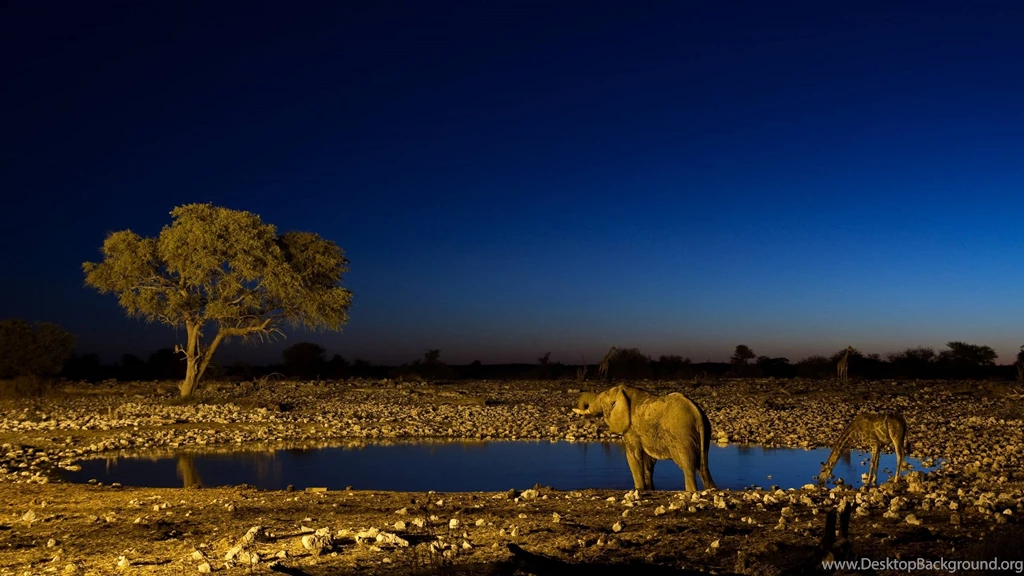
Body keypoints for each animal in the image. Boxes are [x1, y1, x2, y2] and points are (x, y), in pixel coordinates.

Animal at [573, 385, 716, 492]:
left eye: (601, 401)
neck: (623, 391)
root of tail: (697, 414)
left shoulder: (631, 429)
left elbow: (633, 456)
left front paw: (639, 489)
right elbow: (648, 461)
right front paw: (649, 489)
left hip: (682, 434)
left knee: (688, 466)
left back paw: (691, 491)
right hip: (704, 433)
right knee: (703, 467)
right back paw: (711, 489)